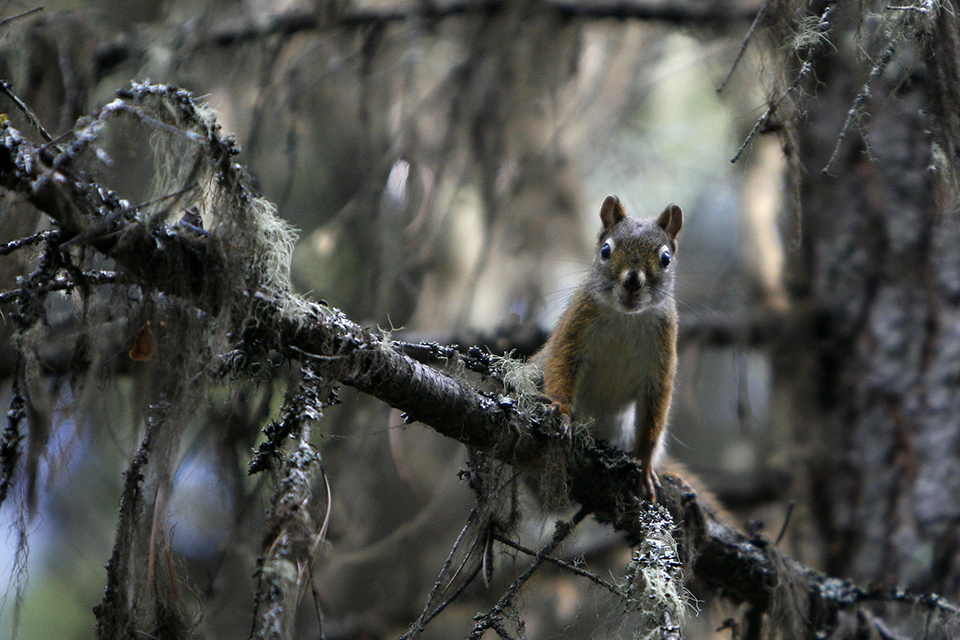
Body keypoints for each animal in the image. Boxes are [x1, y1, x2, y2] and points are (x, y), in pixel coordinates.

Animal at [532, 192, 684, 502]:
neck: (626, 317)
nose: (632, 280)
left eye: (665, 258)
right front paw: (561, 412)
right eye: (605, 250)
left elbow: (654, 416)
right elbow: (561, 366)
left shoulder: (662, 361)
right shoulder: (574, 329)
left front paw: (644, 467)